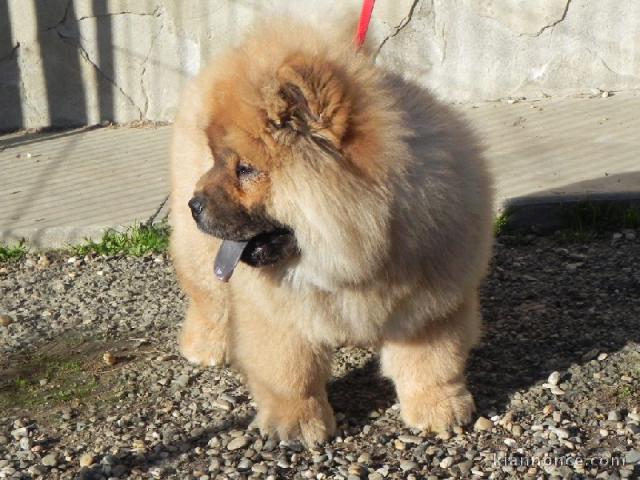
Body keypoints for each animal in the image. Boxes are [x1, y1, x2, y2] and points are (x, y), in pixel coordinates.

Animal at [168, 19, 492, 446]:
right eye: (218, 160)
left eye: (246, 170)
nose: (196, 204)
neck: (356, 260)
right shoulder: (279, 315)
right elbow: (290, 373)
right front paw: (296, 423)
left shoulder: (433, 304)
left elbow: (433, 362)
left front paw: (439, 409)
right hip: (202, 257)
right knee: (209, 298)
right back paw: (206, 346)